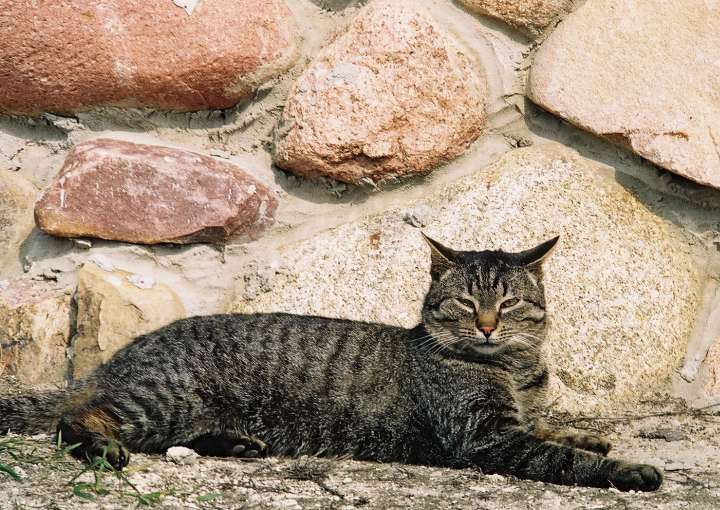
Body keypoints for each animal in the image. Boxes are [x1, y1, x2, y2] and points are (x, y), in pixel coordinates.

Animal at [0, 233, 662, 491]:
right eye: (466, 302)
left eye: (511, 302)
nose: (488, 325)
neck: (518, 371)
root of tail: (116, 358)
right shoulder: (487, 438)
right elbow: (563, 458)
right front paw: (627, 468)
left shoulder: (519, 418)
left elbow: (554, 430)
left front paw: (586, 434)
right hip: (161, 399)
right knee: (78, 418)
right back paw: (104, 447)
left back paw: (237, 443)